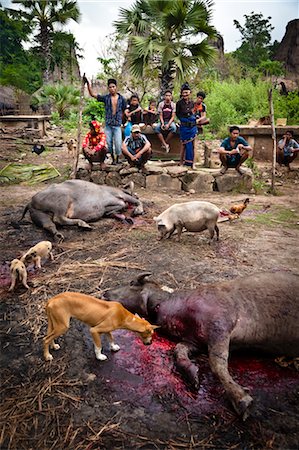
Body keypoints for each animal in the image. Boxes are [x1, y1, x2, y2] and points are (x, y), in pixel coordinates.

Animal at [105, 272, 299, 420]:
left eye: (131, 283)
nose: (106, 293)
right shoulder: (194, 342)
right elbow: (178, 352)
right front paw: (193, 376)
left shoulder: (220, 326)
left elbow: (217, 364)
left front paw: (242, 401)